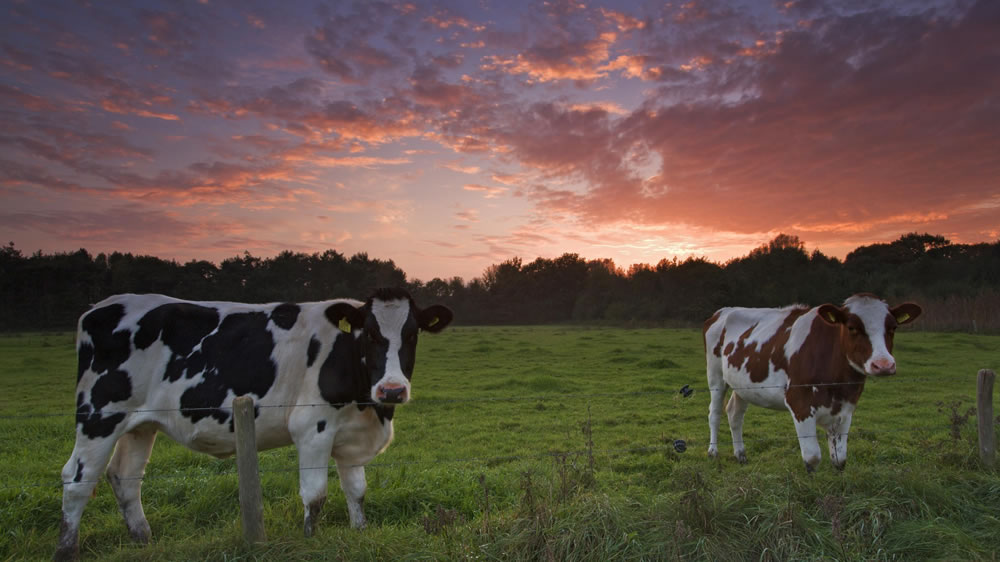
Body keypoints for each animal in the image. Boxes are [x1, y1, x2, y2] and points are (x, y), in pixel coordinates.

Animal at [56, 286, 456, 556]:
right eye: (370, 334)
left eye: (412, 333)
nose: (392, 390)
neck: (368, 406)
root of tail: (99, 307)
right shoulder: (313, 427)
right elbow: (315, 496)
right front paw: (310, 540)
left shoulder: (352, 436)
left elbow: (356, 491)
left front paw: (360, 533)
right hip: (98, 416)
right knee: (77, 479)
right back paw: (66, 549)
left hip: (140, 424)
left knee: (124, 478)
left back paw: (143, 541)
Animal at [704, 290, 920, 470]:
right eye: (852, 327)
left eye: (893, 327)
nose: (883, 364)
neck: (837, 384)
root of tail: (723, 311)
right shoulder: (799, 403)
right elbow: (813, 458)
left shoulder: (845, 408)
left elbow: (840, 459)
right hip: (715, 376)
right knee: (715, 413)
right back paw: (713, 452)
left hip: (742, 385)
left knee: (735, 414)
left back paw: (740, 455)